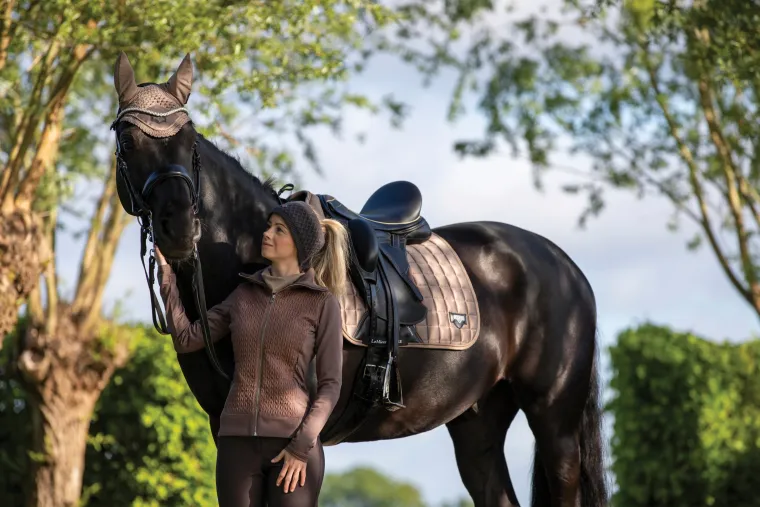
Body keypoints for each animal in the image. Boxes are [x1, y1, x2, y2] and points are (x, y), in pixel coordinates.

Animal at [109, 52, 608, 507]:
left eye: (189, 140)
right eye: (128, 142)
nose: (179, 228)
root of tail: (563, 264)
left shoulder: (304, 436)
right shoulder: (225, 429)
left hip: (556, 424)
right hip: (477, 425)